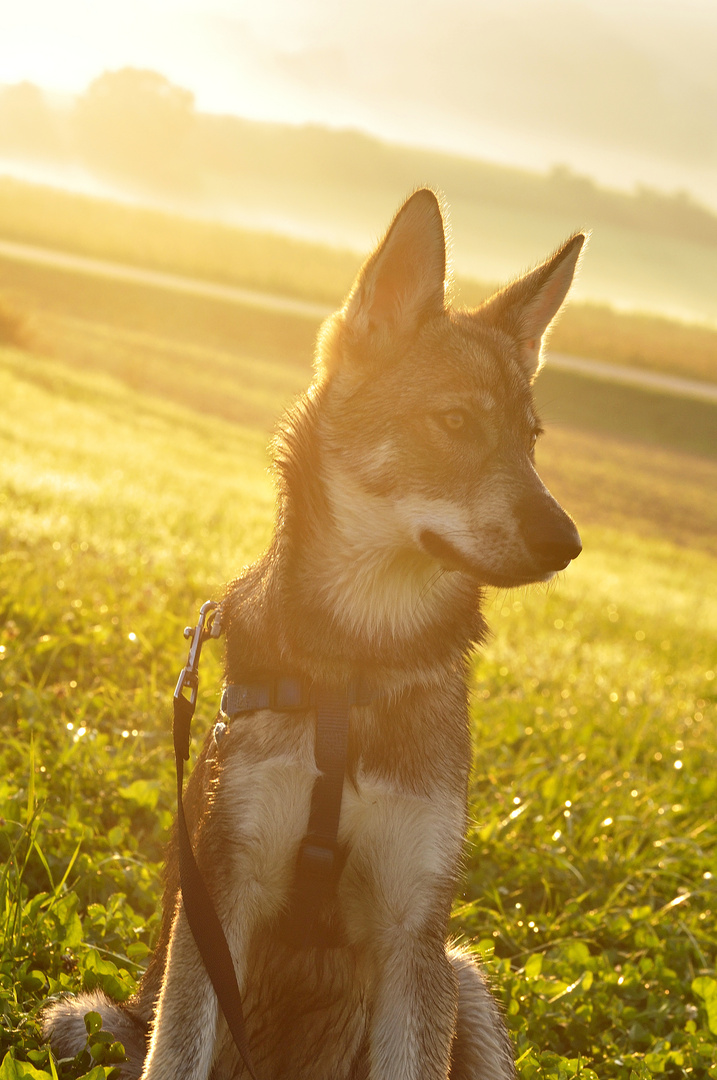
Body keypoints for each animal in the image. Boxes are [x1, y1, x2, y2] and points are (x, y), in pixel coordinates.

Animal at [42, 190, 587, 1075]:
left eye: (530, 439)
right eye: (454, 421)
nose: (567, 543)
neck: (356, 662)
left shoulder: (413, 932)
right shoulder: (219, 905)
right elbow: (175, 1053)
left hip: (464, 981)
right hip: (101, 1018)